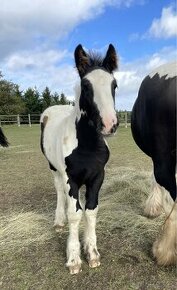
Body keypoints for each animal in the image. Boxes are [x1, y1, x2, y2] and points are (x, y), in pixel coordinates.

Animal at [40, 43, 118, 274]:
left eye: (114, 84)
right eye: (85, 85)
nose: (109, 124)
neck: (87, 146)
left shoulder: (97, 176)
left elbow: (90, 211)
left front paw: (91, 252)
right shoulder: (70, 178)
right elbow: (75, 214)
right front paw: (74, 258)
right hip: (54, 169)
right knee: (59, 192)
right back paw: (59, 221)